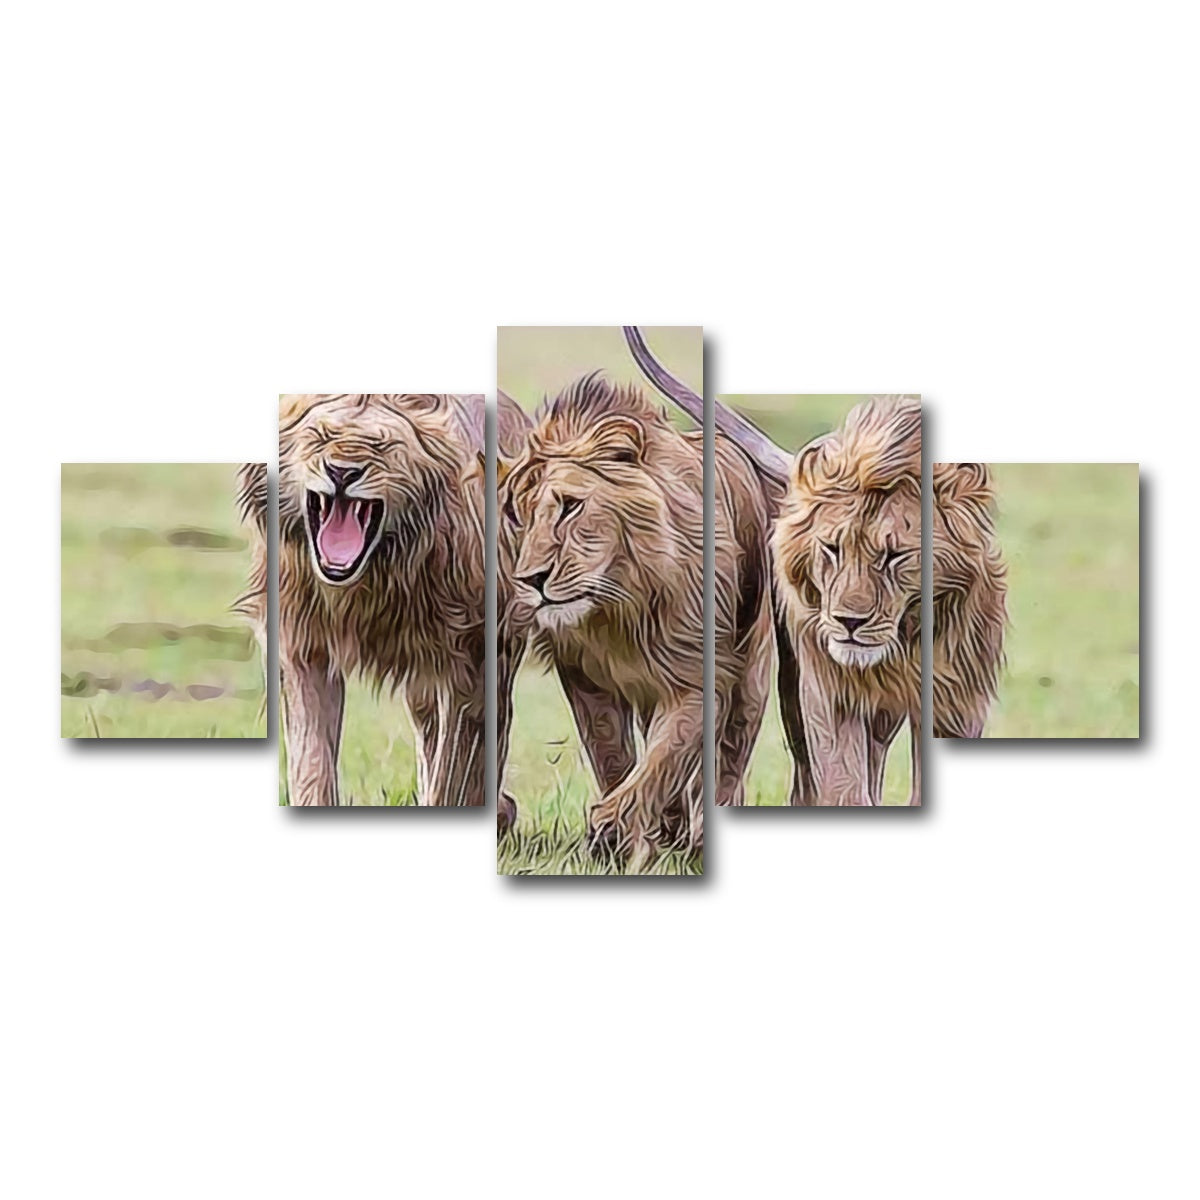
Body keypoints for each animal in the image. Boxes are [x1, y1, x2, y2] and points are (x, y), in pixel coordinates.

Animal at [238, 393, 524, 818]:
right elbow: (311, 759)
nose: (341, 473)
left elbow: (459, 770)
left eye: (381, 445)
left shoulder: (476, 658)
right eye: (321, 436)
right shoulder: (303, 647)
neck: (371, 580)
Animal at [498, 373, 773, 861]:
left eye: (570, 505)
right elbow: (615, 757)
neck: (619, 606)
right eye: (518, 515)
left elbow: (665, 757)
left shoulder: (699, 676)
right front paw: (625, 836)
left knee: (727, 762)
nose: (531, 579)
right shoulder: (584, 678)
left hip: (751, 677)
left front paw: (612, 828)